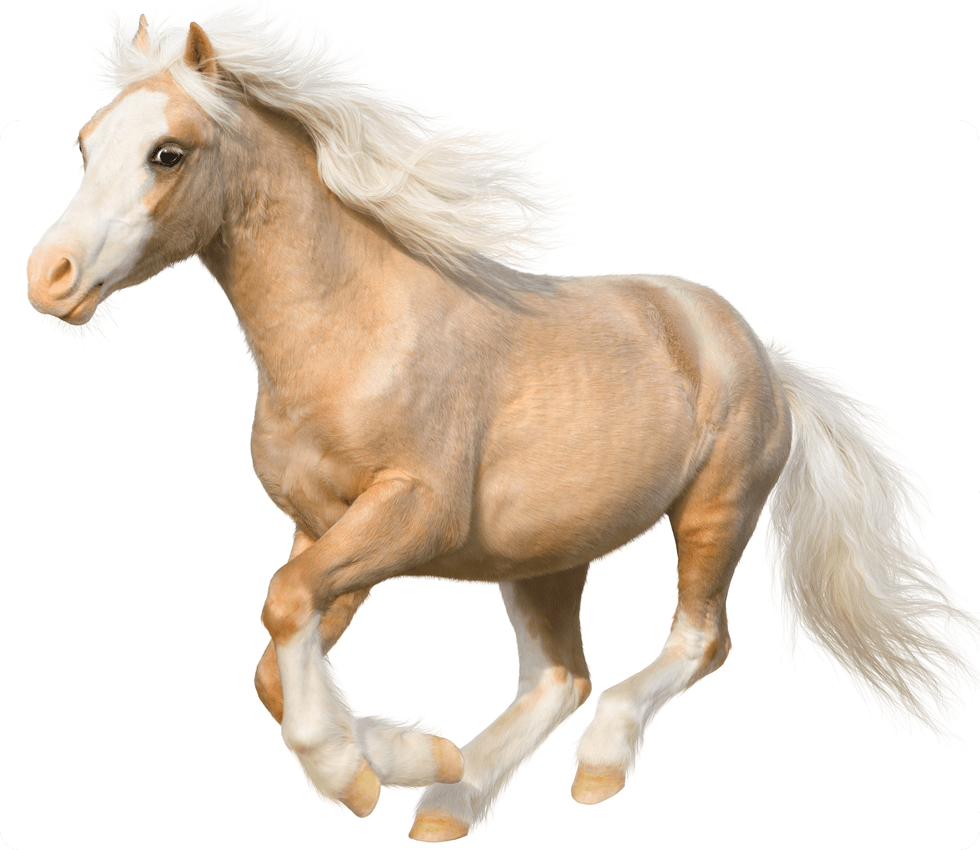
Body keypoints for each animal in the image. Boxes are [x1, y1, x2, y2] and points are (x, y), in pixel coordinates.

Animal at [24, 3, 976, 843]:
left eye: (167, 153)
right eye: (84, 144)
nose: (48, 278)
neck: (352, 330)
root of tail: (766, 360)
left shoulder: (411, 513)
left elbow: (283, 607)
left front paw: (352, 770)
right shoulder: (326, 528)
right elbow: (273, 655)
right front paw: (398, 761)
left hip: (717, 509)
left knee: (698, 641)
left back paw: (596, 765)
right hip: (545, 556)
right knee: (560, 676)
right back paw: (450, 795)